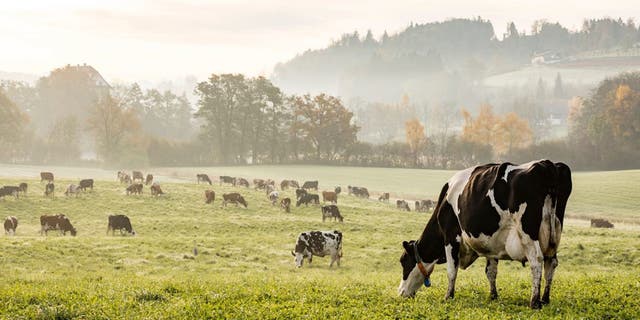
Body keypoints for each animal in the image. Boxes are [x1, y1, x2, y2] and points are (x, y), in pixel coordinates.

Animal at [398, 161, 572, 308]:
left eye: (403, 261)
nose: (400, 292)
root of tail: (547, 164)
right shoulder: (492, 243)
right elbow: (491, 271)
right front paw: (493, 296)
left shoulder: (451, 236)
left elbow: (451, 270)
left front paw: (448, 296)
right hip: (554, 235)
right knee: (551, 263)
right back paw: (545, 299)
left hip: (527, 234)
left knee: (536, 261)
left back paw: (535, 301)